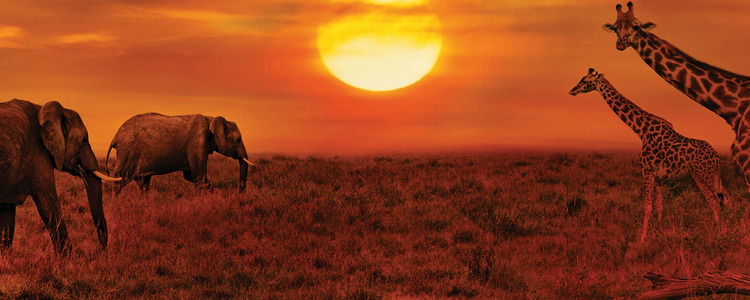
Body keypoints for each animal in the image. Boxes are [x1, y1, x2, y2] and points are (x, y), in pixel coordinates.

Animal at [0, 99, 120, 253]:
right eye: (84, 140)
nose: (99, 250)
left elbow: (7, 215)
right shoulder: (38, 153)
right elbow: (48, 205)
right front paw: (68, 258)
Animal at [103, 112, 258, 192]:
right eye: (238, 139)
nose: (239, 194)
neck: (212, 118)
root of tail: (115, 137)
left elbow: (191, 176)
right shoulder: (198, 142)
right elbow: (198, 175)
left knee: (143, 182)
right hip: (128, 151)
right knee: (120, 179)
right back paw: (115, 205)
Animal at [568, 67, 728, 241]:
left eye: (584, 80)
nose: (572, 90)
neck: (641, 129)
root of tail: (716, 157)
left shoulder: (647, 171)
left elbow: (647, 207)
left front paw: (642, 239)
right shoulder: (659, 177)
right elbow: (659, 207)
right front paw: (659, 232)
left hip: (701, 175)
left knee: (714, 200)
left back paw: (720, 233)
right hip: (714, 176)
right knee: (725, 198)